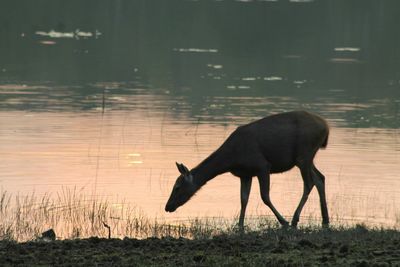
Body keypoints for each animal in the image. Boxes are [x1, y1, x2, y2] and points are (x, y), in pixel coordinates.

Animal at [164, 111, 330, 230]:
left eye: (177, 187)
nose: (167, 207)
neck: (231, 159)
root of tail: (326, 127)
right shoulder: (245, 174)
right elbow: (243, 199)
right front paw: (240, 225)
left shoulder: (262, 166)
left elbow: (265, 197)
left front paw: (284, 221)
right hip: (306, 158)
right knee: (320, 178)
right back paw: (325, 219)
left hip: (304, 153)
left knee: (309, 183)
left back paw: (295, 219)